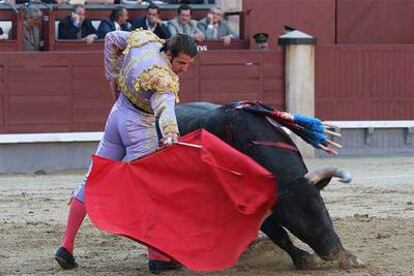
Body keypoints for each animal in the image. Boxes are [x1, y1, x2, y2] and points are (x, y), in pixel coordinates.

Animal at [176, 101, 364, 270]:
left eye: (321, 206)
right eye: (289, 221)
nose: (333, 252)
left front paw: (349, 257)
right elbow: (278, 233)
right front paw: (304, 258)